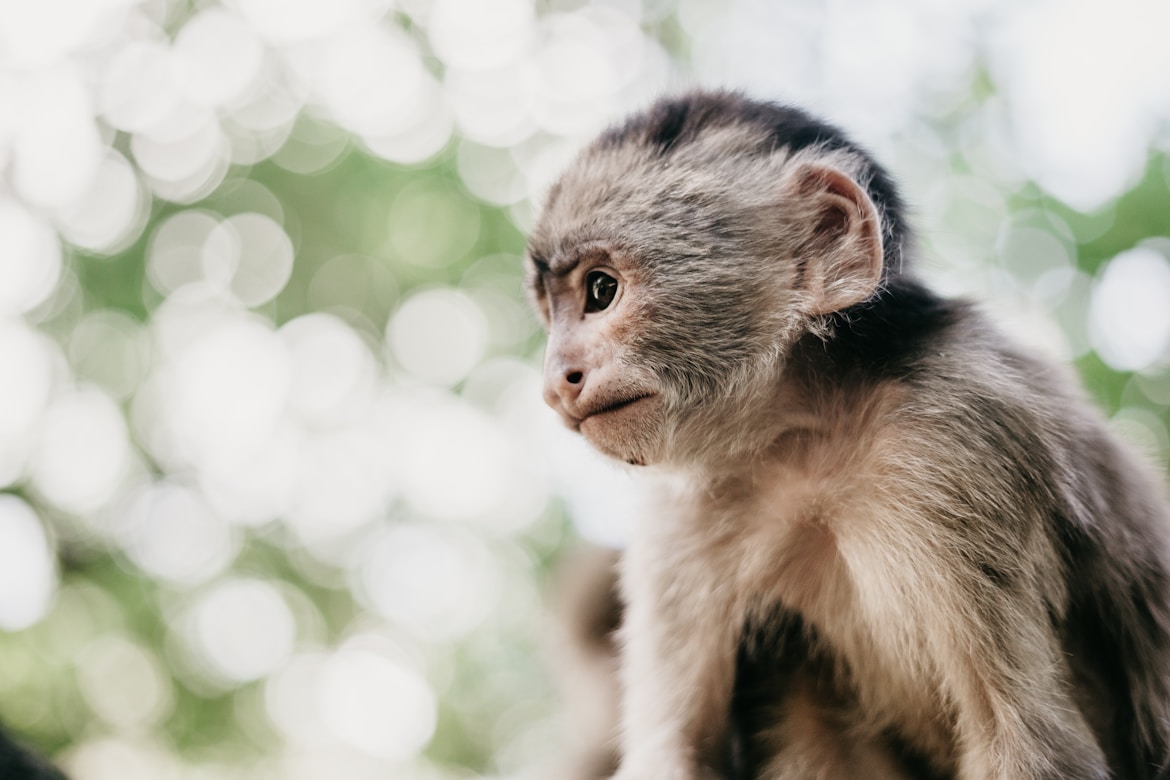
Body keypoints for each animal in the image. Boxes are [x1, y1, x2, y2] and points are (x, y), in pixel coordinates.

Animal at [526, 90, 1170, 780]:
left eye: (600, 291)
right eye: (552, 312)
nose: (556, 383)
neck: (811, 435)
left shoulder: (967, 433)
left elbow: (1029, 743)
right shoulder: (679, 520)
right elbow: (679, 754)